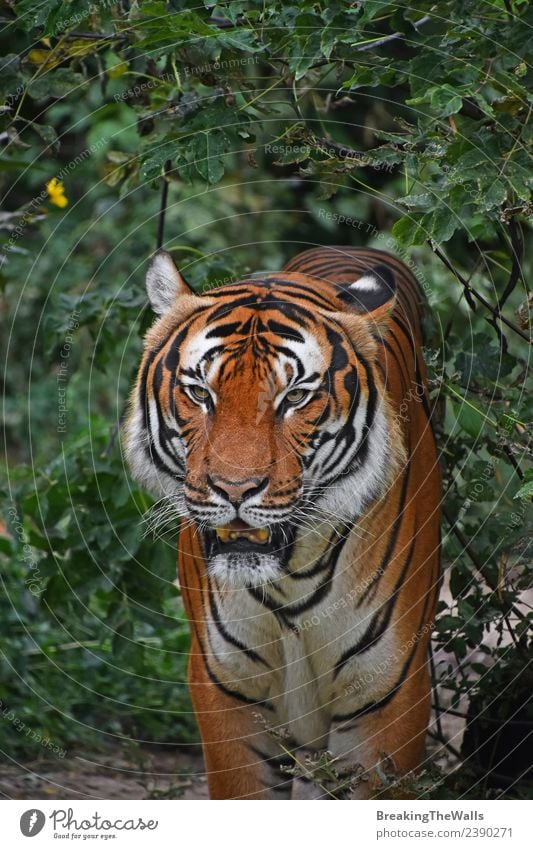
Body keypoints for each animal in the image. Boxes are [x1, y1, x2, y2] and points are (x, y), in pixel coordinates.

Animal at [124, 243, 440, 796]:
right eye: (200, 393)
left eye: (294, 397)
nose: (234, 489)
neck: (292, 577)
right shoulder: (226, 689)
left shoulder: (387, 695)